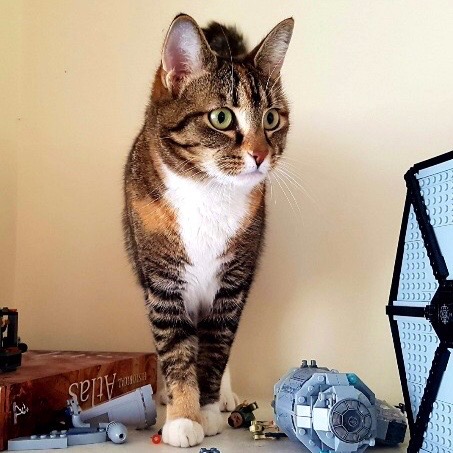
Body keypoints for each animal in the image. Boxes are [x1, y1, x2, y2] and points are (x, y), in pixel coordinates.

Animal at [123, 13, 293, 447]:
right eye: (222, 117)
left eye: (271, 118)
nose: (260, 154)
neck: (208, 192)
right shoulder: (163, 280)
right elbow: (176, 348)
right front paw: (183, 417)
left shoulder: (233, 281)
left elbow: (217, 347)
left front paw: (208, 409)